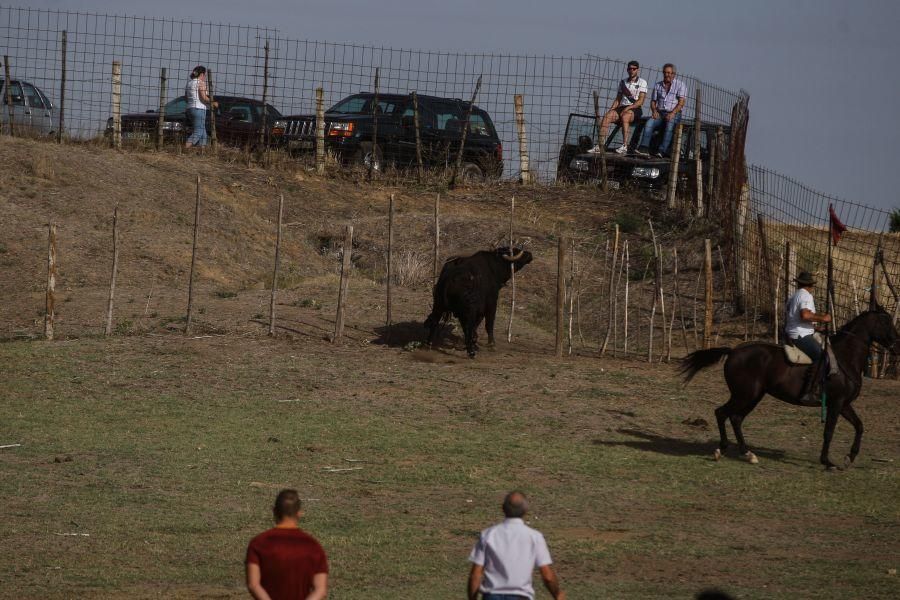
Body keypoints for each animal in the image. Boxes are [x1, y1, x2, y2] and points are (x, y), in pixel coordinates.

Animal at [684, 310, 896, 468]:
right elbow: (829, 432)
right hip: (744, 395)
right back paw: (721, 450)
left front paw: (849, 457)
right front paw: (827, 462)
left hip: (753, 396)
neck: (845, 359)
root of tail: (733, 351)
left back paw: (748, 454)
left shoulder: (844, 404)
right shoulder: (836, 403)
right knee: (721, 413)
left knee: (735, 418)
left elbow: (859, 426)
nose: (896, 343)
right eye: (886, 322)